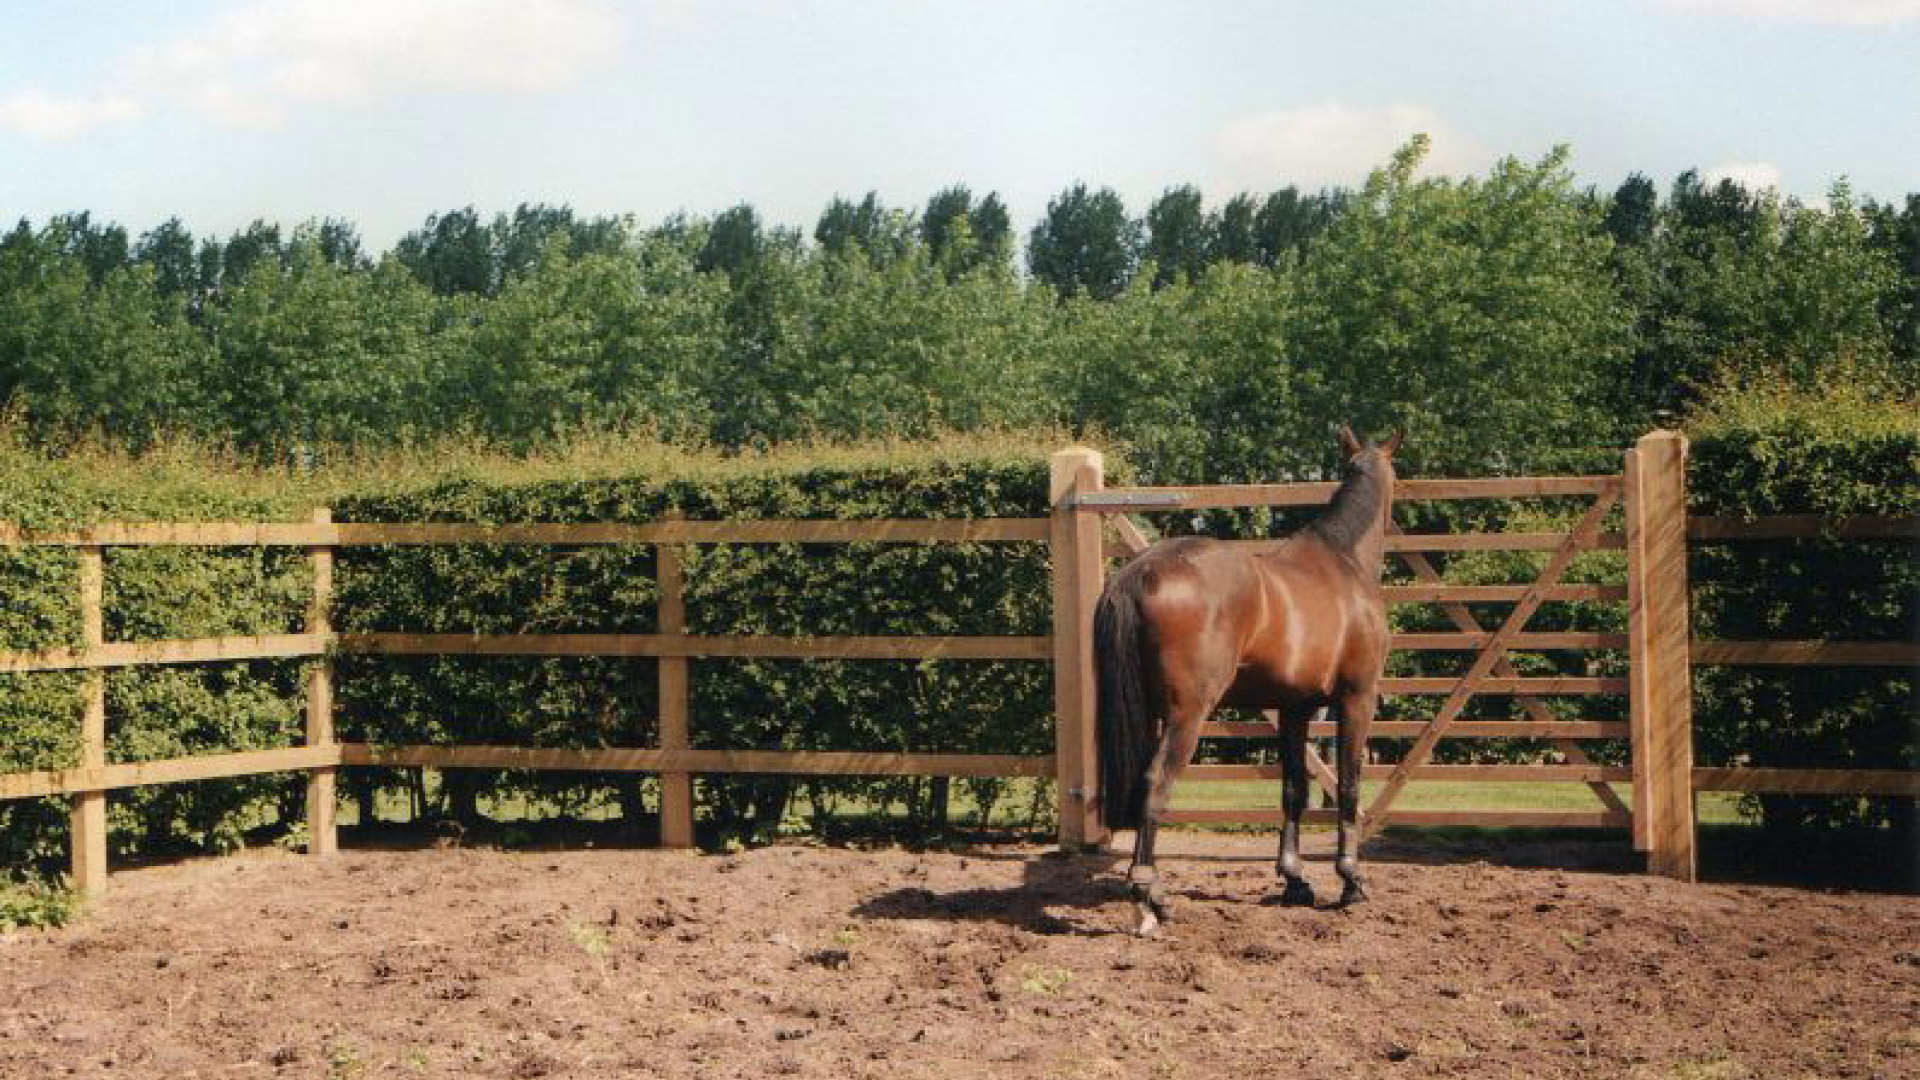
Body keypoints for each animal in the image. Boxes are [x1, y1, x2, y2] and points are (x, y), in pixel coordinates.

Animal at [1098, 424, 1397, 930]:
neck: (1344, 561)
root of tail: (1140, 571)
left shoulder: (1296, 708)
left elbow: (1294, 789)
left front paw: (1295, 880)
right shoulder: (1357, 698)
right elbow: (1349, 785)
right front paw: (1351, 880)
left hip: (1153, 714)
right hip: (1187, 716)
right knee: (1156, 785)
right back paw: (1149, 896)